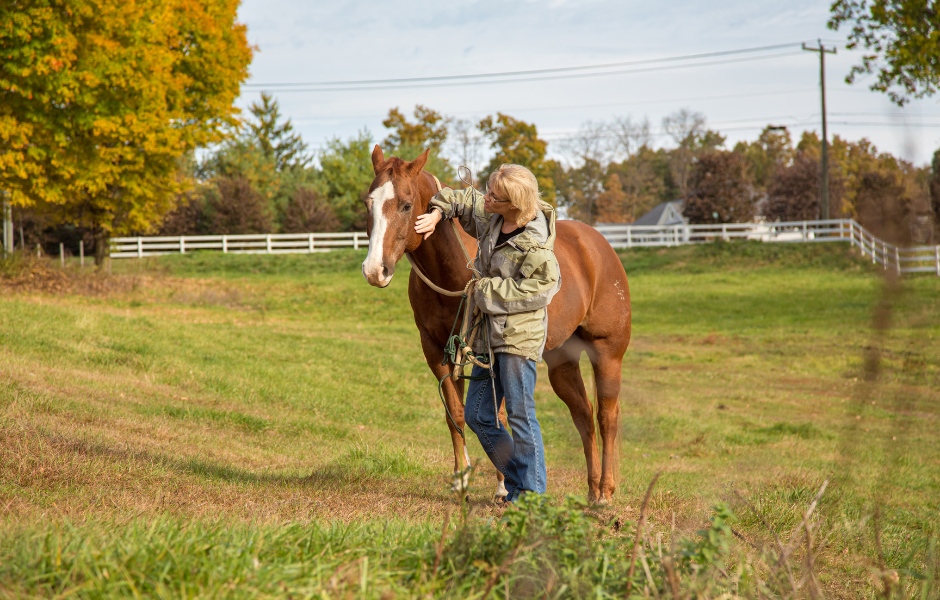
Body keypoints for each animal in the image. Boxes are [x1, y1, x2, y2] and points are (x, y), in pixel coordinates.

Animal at [360, 146, 632, 502]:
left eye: (406, 204)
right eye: (368, 202)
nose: (374, 270)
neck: (451, 270)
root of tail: (600, 245)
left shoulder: (488, 353)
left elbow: (500, 416)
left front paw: (504, 485)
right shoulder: (437, 349)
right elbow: (456, 413)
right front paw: (461, 479)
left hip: (607, 353)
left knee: (607, 416)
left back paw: (605, 494)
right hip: (562, 360)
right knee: (584, 416)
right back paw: (591, 490)